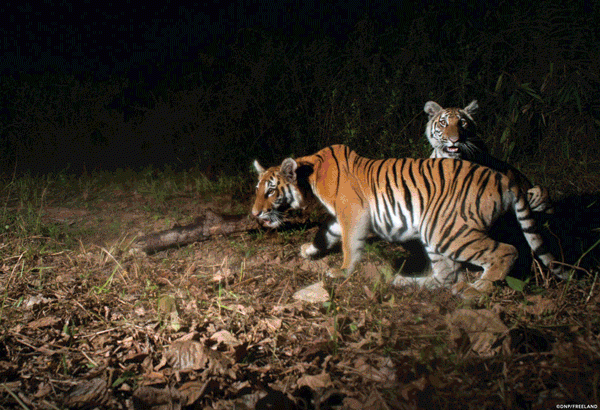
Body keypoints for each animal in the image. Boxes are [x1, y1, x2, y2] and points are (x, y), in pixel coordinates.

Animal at [250, 144, 564, 298]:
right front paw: (309, 250)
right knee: (446, 275)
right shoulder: (341, 217)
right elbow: (324, 233)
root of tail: (506, 179)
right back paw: (402, 282)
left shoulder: (353, 212)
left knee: (505, 251)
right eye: (257, 188)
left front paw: (341, 272)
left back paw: (477, 290)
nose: (254, 214)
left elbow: (350, 245)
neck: (309, 175)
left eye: (271, 190)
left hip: (446, 231)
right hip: (436, 233)